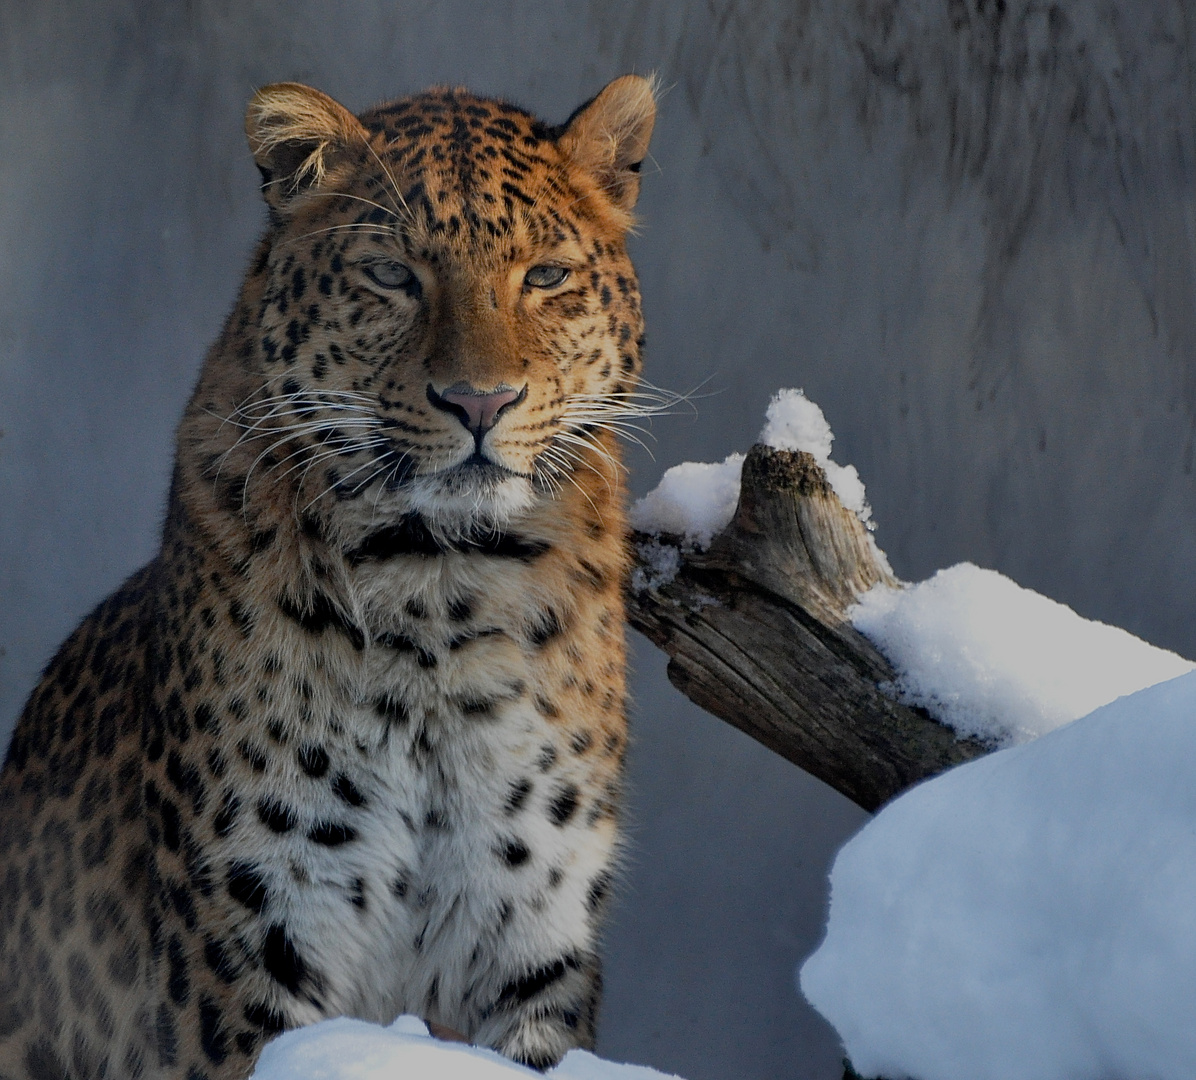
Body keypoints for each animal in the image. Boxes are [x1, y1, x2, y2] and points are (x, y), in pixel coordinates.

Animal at [0, 75, 655, 1080]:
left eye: (545, 277)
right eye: (391, 275)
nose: (480, 402)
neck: (443, 585)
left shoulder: (532, 940)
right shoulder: (256, 935)